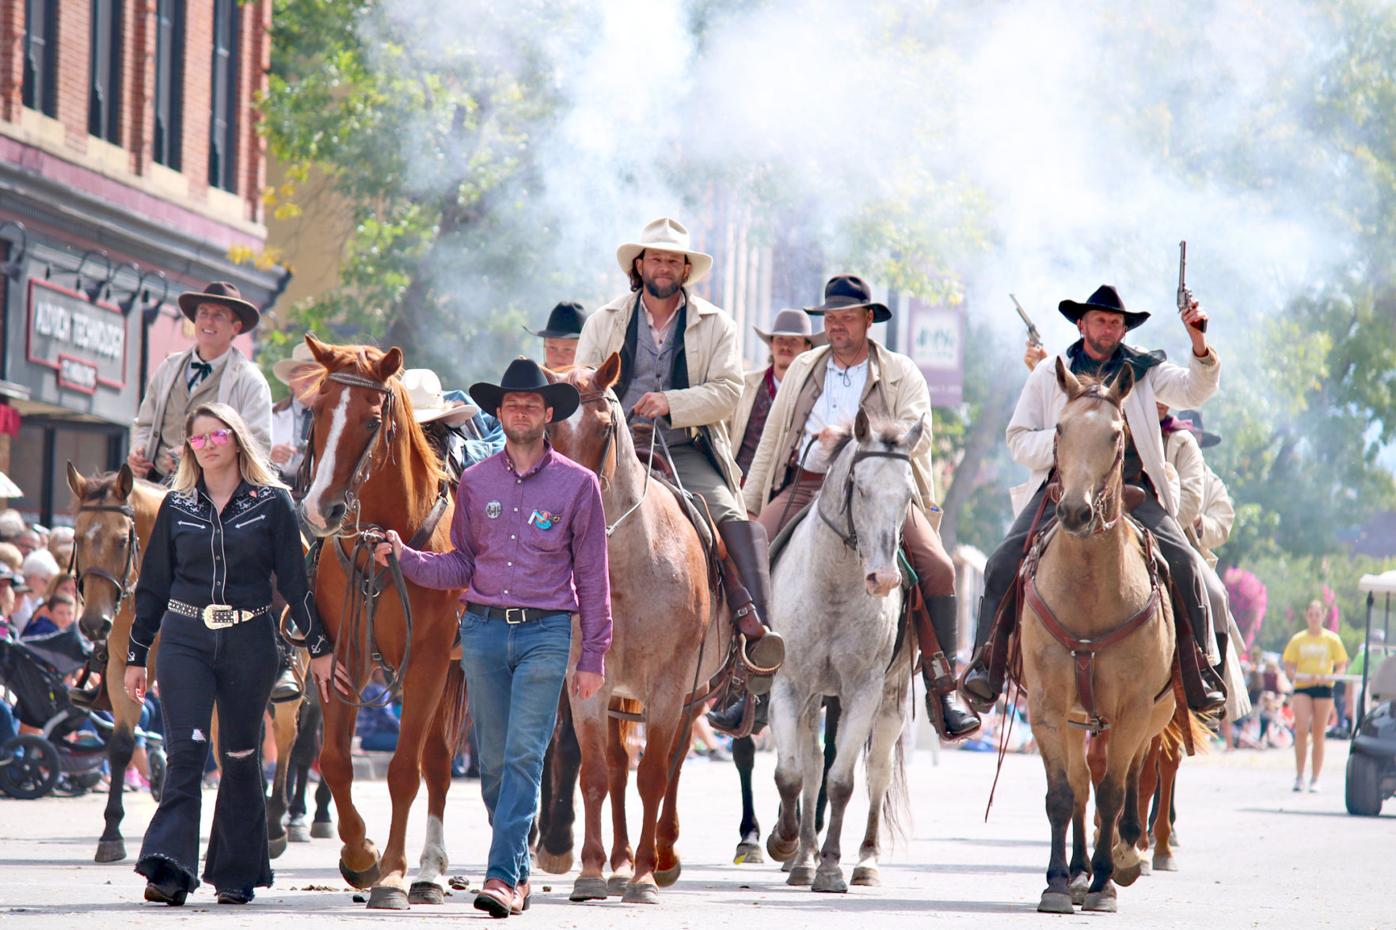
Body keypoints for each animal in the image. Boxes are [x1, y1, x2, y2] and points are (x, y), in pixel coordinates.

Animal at [294, 333, 469, 904]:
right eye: (318, 411)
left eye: (372, 421)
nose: (318, 510)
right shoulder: (341, 657)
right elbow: (333, 760)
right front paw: (361, 856)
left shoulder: (427, 661)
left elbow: (402, 771)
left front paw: (391, 873)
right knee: (439, 761)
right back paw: (431, 871)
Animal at [544, 353, 742, 899]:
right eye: (546, 428)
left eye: (604, 427)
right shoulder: (589, 683)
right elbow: (596, 773)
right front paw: (593, 871)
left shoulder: (672, 686)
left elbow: (653, 774)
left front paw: (646, 877)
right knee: (617, 768)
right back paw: (619, 859)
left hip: (694, 692)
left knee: (673, 761)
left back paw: (662, 855)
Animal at [765, 410, 915, 893]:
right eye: (860, 488)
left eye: (908, 496)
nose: (884, 579)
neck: (833, 587)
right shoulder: (790, 685)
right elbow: (792, 774)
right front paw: (786, 842)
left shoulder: (864, 690)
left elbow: (843, 782)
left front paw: (831, 867)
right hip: (815, 697)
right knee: (811, 766)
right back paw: (802, 858)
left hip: (891, 698)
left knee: (877, 771)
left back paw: (865, 860)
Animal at [1021, 357, 1183, 910]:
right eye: (1060, 429)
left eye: (1116, 435)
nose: (1074, 511)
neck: (1091, 589)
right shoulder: (1048, 706)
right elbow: (1062, 794)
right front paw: (1056, 880)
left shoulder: (1133, 708)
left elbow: (1115, 788)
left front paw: (1107, 881)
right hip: (1080, 717)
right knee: (1082, 782)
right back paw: (1078, 868)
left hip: (1150, 713)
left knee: (1134, 774)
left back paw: (1128, 850)